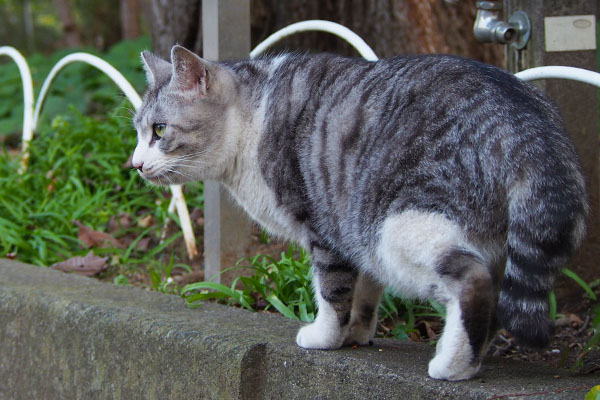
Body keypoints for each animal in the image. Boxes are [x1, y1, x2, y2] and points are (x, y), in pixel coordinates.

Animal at [131, 45, 584, 380]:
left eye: (159, 130)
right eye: (137, 131)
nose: (134, 164)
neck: (252, 118)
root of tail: (528, 128)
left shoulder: (324, 226)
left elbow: (332, 291)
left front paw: (325, 337)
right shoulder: (351, 223)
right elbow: (365, 291)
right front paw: (360, 333)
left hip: (403, 227)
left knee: (473, 282)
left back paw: (451, 367)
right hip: (473, 241)